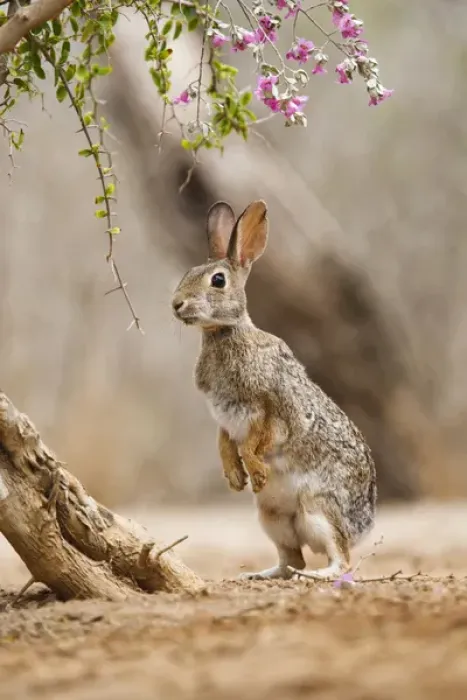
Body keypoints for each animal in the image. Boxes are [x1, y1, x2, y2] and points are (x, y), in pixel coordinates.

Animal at [172, 199, 377, 580]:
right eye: (188, 271)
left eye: (217, 280)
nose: (177, 304)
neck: (225, 332)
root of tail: (365, 525)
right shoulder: (223, 417)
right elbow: (225, 443)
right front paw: (235, 478)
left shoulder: (273, 409)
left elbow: (258, 440)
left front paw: (254, 470)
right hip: (273, 518)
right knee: (290, 560)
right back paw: (256, 574)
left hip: (319, 510)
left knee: (339, 559)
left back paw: (316, 575)